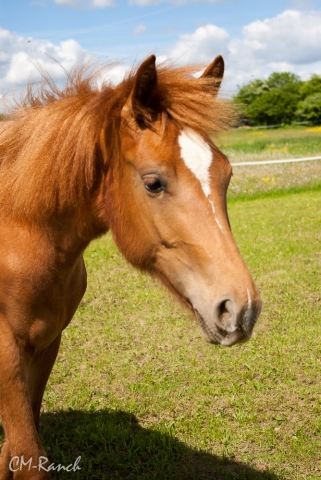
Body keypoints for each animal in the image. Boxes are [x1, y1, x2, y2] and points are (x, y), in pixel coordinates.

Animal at [0, 54, 260, 478]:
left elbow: (14, 449)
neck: (18, 237)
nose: (241, 308)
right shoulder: (7, 353)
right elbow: (27, 456)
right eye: (153, 182)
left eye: (227, 175)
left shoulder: (47, 344)